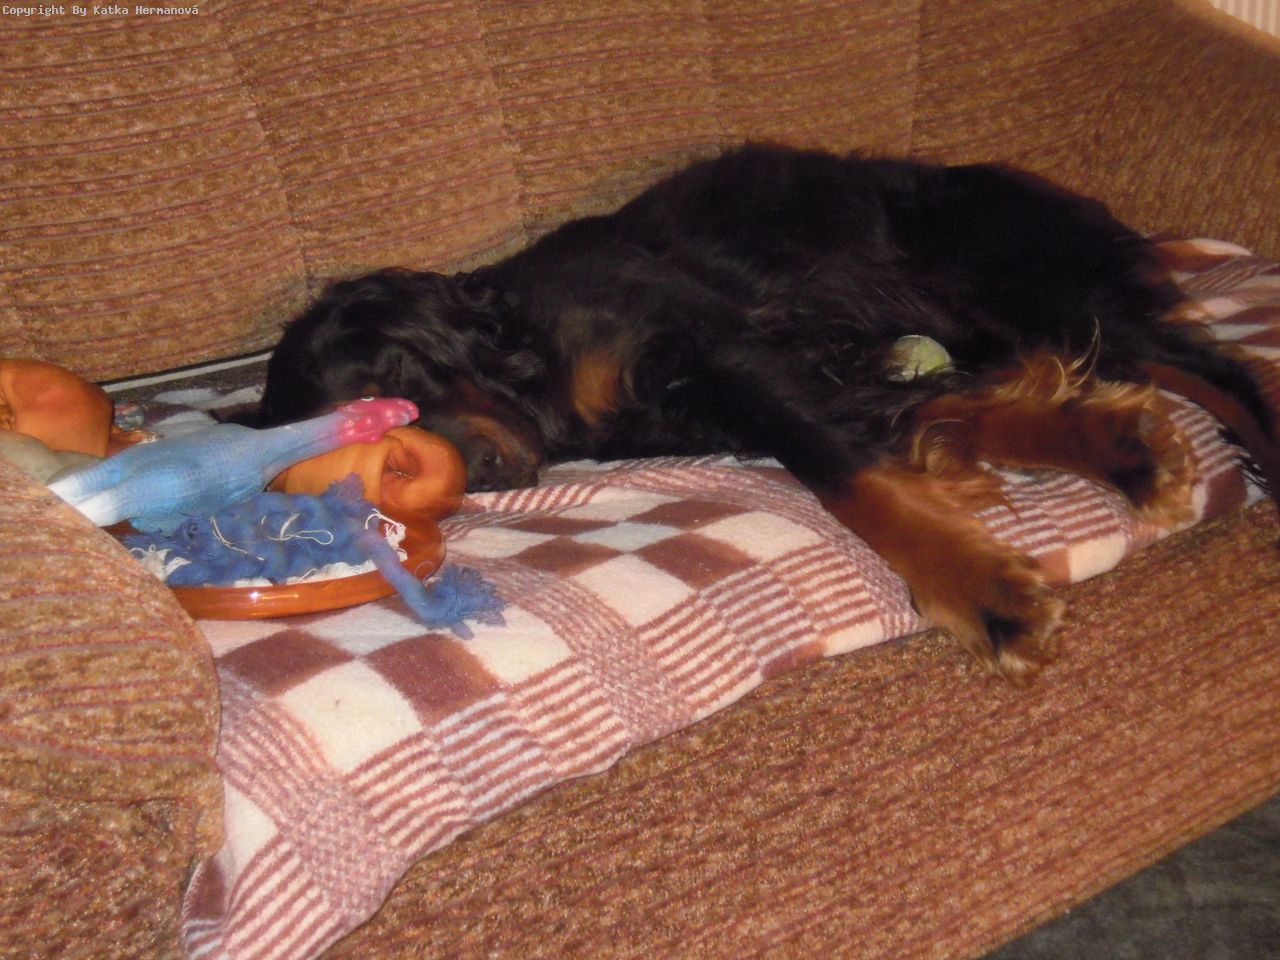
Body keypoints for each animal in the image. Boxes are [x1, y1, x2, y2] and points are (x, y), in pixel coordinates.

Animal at [257, 144, 1279, 683]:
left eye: (400, 375)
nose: (477, 466)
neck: (529, 352)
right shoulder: (783, 370)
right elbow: (927, 419)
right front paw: (1102, 442)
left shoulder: (720, 346)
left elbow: (845, 470)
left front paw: (978, 590)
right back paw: (1130, 451)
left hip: (1022, 283)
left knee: (1215, 364)